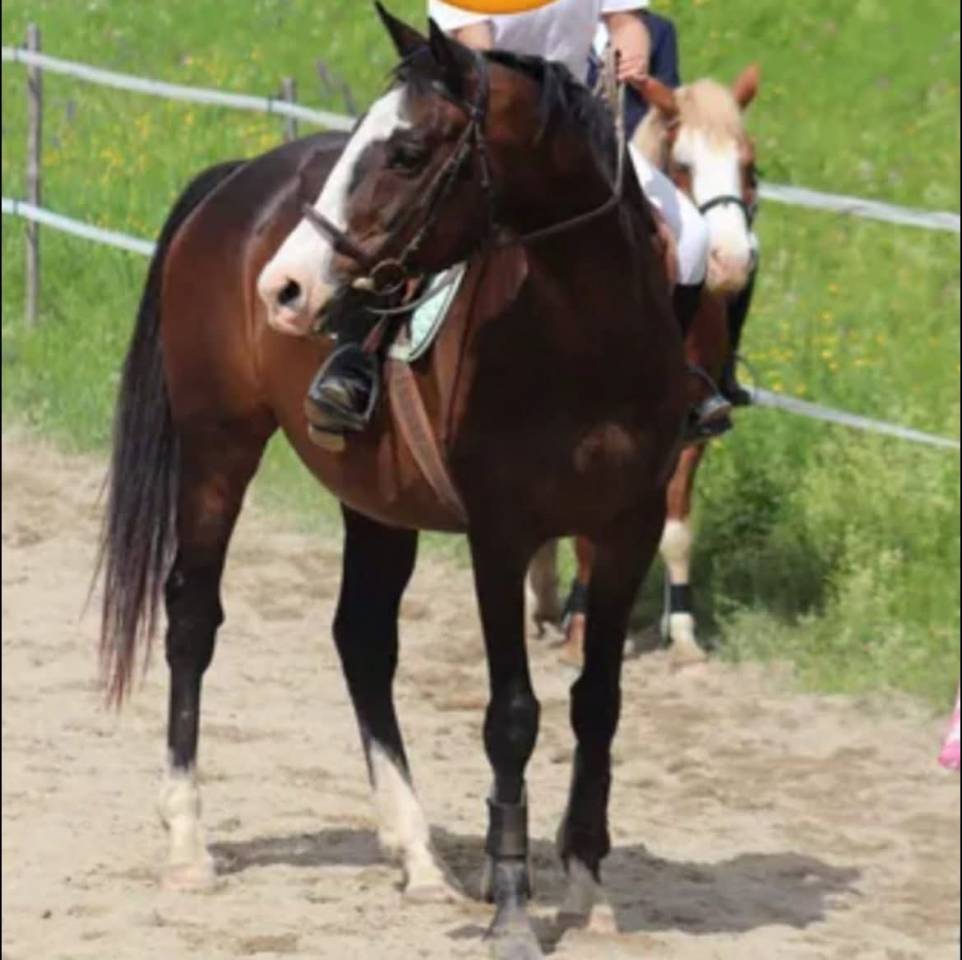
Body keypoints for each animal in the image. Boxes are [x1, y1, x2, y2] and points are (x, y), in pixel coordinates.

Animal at [98, 8, 688, 958]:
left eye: (408, 152)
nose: (286, 286)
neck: (584, 337)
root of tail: (237, 182)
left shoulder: (626, 527)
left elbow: (597, 703)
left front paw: (588, 886)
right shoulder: (500, 535)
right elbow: (513, 714)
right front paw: (513, 906)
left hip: (374, 501)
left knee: (363, 641)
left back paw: (416, 852)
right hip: (219, 448)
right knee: (191, 618)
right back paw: (188, 841)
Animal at [527, 66, 762, 669]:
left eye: (750, 166)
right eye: (683, 165)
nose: (731, 261)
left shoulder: (689, 430)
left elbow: (676, 529)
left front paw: (682, 632)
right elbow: (590, 535)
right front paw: (581, 630)